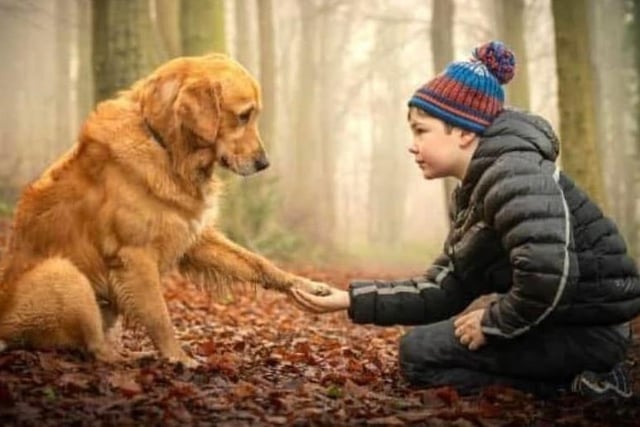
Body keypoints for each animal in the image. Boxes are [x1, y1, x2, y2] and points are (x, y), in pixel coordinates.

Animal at [0, 54, 328, 368]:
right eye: (243, 116)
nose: (264, 163)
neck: (166, 149)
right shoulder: (134, 256)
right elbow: (159, 316)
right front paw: (178, 357)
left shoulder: (196, 237)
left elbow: (257, 262)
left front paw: (304, 285)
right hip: (64, 272)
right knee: (95, 349)